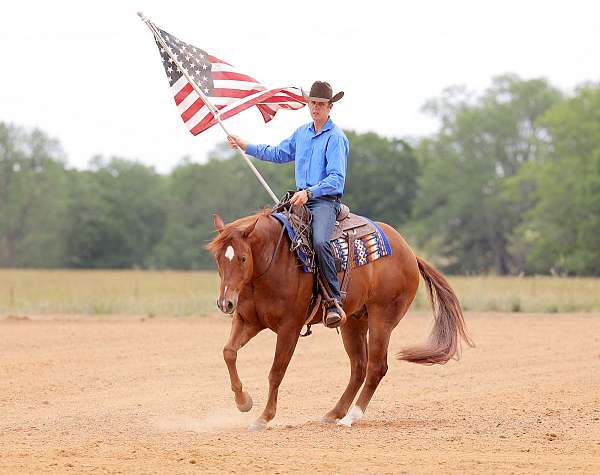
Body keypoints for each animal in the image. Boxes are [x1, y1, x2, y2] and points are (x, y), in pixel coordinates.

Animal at [207, 209, 474, 432]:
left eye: (242, 258)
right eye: (219, 258)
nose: (225, 303)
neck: (272, 263)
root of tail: (408, 252)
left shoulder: (289, 328)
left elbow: (276, 372)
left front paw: (264, 417)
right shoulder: (247, 320)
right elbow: (228, 352)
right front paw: (244, 401)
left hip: (383, 318)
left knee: (376, 367)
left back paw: (351, 416)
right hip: (353, 322)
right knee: (359, 367)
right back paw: (334, 413)